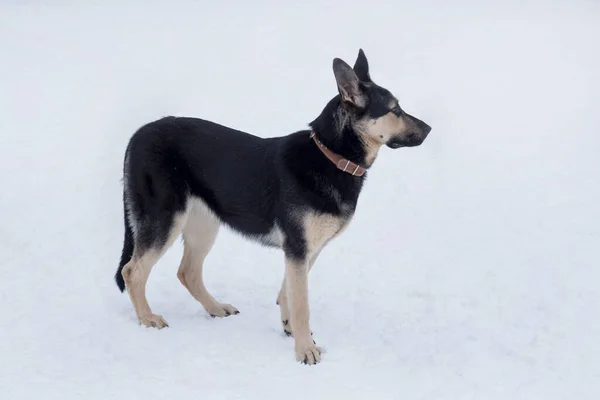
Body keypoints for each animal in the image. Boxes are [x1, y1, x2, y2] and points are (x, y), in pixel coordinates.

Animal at [113, 48, 432, 364]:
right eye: (395, 110)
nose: (429, 129)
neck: (330, 156)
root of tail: (137, 135)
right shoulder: (298, 249)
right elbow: (302, 304)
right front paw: (306, 351)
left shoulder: (305, 250)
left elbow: (288, 293)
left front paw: (290, 329)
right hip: (166, 219)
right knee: (133, 271)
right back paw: (147, 319)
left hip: (204, 223)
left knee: (187, 272)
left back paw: (215, 308)